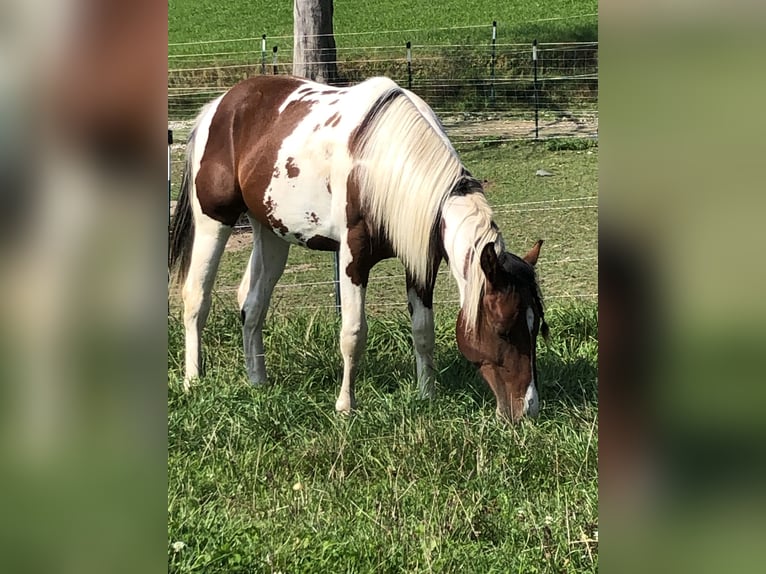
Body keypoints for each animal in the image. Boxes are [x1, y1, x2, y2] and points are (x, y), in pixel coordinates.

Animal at [170, 74, 548, 420]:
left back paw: (257, 380)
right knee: (196, 297)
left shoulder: (420, 262)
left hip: (271, 232)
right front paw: (345, 406)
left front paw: (427, 395)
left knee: (252, 305)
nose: (528, 408)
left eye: (537, 327)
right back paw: (193, 381)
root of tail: (219, 106)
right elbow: (353, 332)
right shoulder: (353, 256)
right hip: (213, 221)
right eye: (503, 329)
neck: (385, 167)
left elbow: (423, 330)